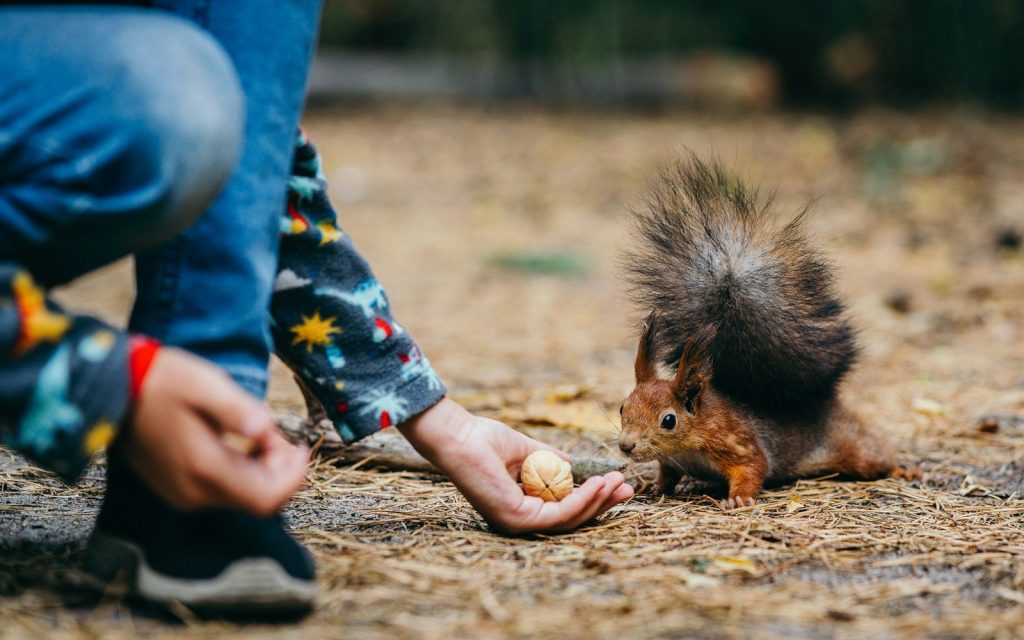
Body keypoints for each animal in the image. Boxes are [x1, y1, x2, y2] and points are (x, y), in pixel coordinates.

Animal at [618, 155, 912, 508]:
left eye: (668, 420)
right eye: (622, 407)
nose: (625, 446)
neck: (691, 443)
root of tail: (824, 400)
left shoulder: (737, 443)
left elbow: (754, 467)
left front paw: (739, 498)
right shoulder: (672, 462)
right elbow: (667, 475)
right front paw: (652, 487)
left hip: (854, 450)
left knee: (874, 452)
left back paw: (900, 470)